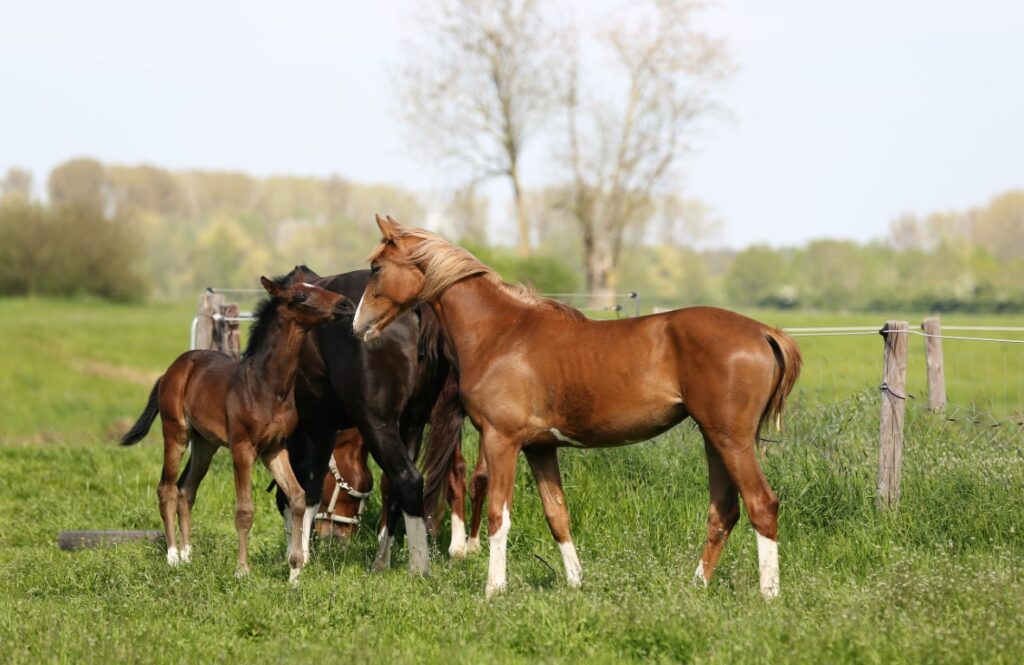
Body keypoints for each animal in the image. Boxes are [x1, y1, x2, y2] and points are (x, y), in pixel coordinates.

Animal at [120, 277, 353, 584]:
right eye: (301, 296)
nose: (346, 304)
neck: (267, 386)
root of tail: (170, 371)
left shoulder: (275, 449)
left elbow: (298, 497)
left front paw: (294, 573)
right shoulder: (243, 448)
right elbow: (245, 510)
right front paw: (242, 570)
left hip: (205, 444)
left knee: (186, 490)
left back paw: (187, 554)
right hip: (175, 433)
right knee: (167, 488)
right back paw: (172, 557)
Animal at [268, 265, 466, 574]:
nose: (336, 536)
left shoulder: (307, 432)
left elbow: (295, 491)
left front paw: (298, 555)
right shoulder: (323, 429)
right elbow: (311, 490)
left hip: (378, 424)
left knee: (408, 479)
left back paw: (419, 567)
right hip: (412, 423)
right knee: (399, 485)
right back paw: (382, 562)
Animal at [352, 215, 802, 599]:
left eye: (376, 267)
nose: (358, 325)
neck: (501, 334)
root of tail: (764, 332)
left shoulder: (502, 441)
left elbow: (499, 515)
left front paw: (494, 589)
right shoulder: (540, 447)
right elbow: (558, 515)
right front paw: (575, 582)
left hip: (731, 441)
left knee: (762, 504)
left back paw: (769, 595)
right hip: (714, 439)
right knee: (724, 511)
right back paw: (697, 586)